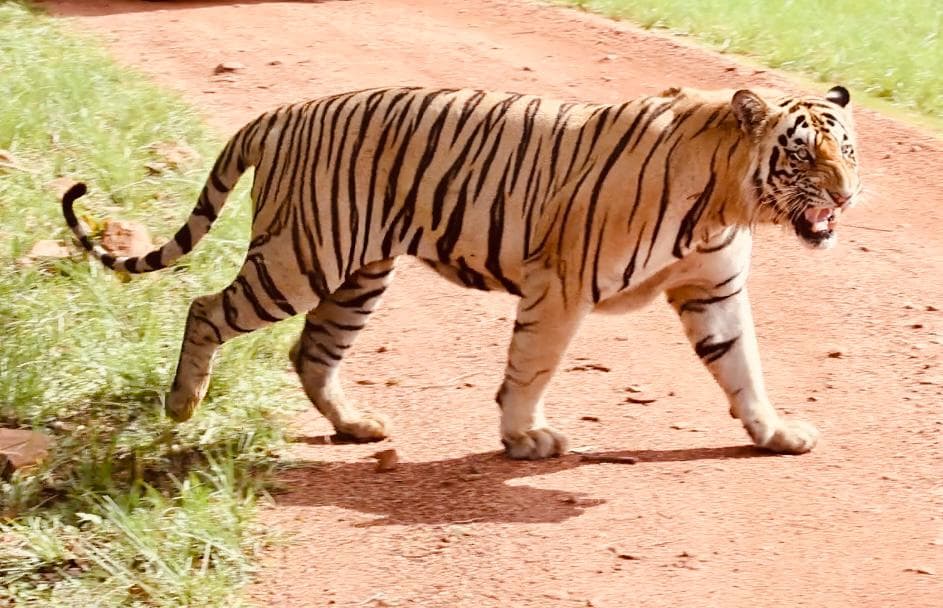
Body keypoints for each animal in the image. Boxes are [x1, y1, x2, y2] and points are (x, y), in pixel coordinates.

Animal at [62, 84, 860, 460]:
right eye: (801, 154)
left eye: (846, 150)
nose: (848, 196)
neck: (728, 201)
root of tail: (280, 112)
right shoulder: (561, 285)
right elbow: (532, 366)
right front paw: (525, 439)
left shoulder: (713, 289)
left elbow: (743, 368)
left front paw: (774, 433)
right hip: (299, 261)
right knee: (204, 308)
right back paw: (181, 405)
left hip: (356, 274)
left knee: (312, 352)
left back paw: (356, 425)